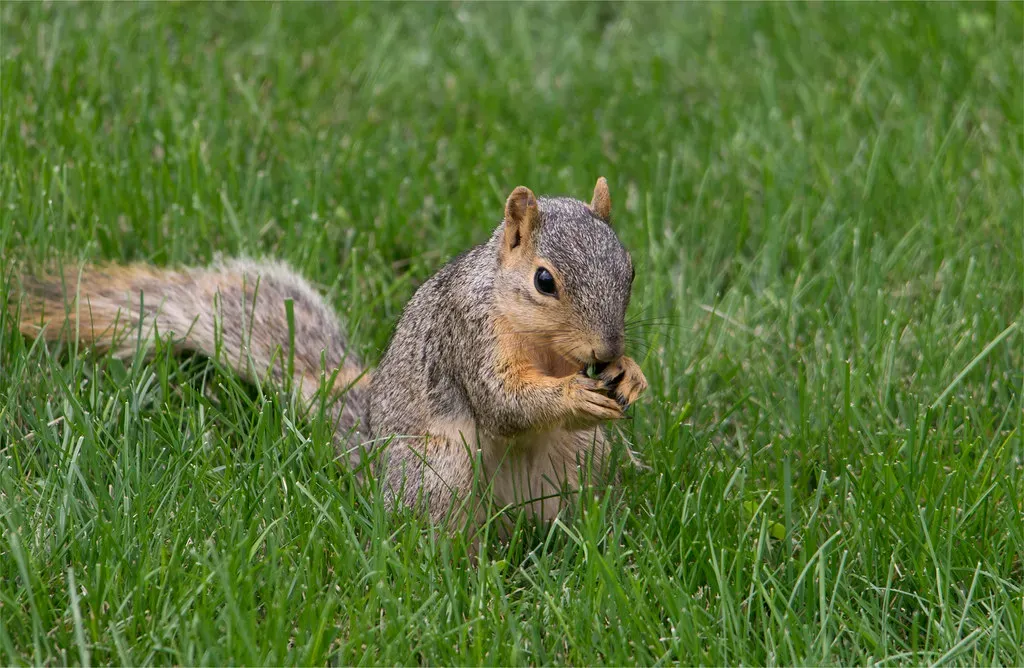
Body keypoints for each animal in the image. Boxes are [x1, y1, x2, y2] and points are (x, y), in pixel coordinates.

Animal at [14, 178, 648, 535]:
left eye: (631, 268)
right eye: (544, 281)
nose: (606, 349)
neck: (534, 334)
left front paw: (631, 376)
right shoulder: (468, 337)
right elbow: (504, 402)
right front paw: (574, 392)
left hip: (579, 464)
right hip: (437, 472)